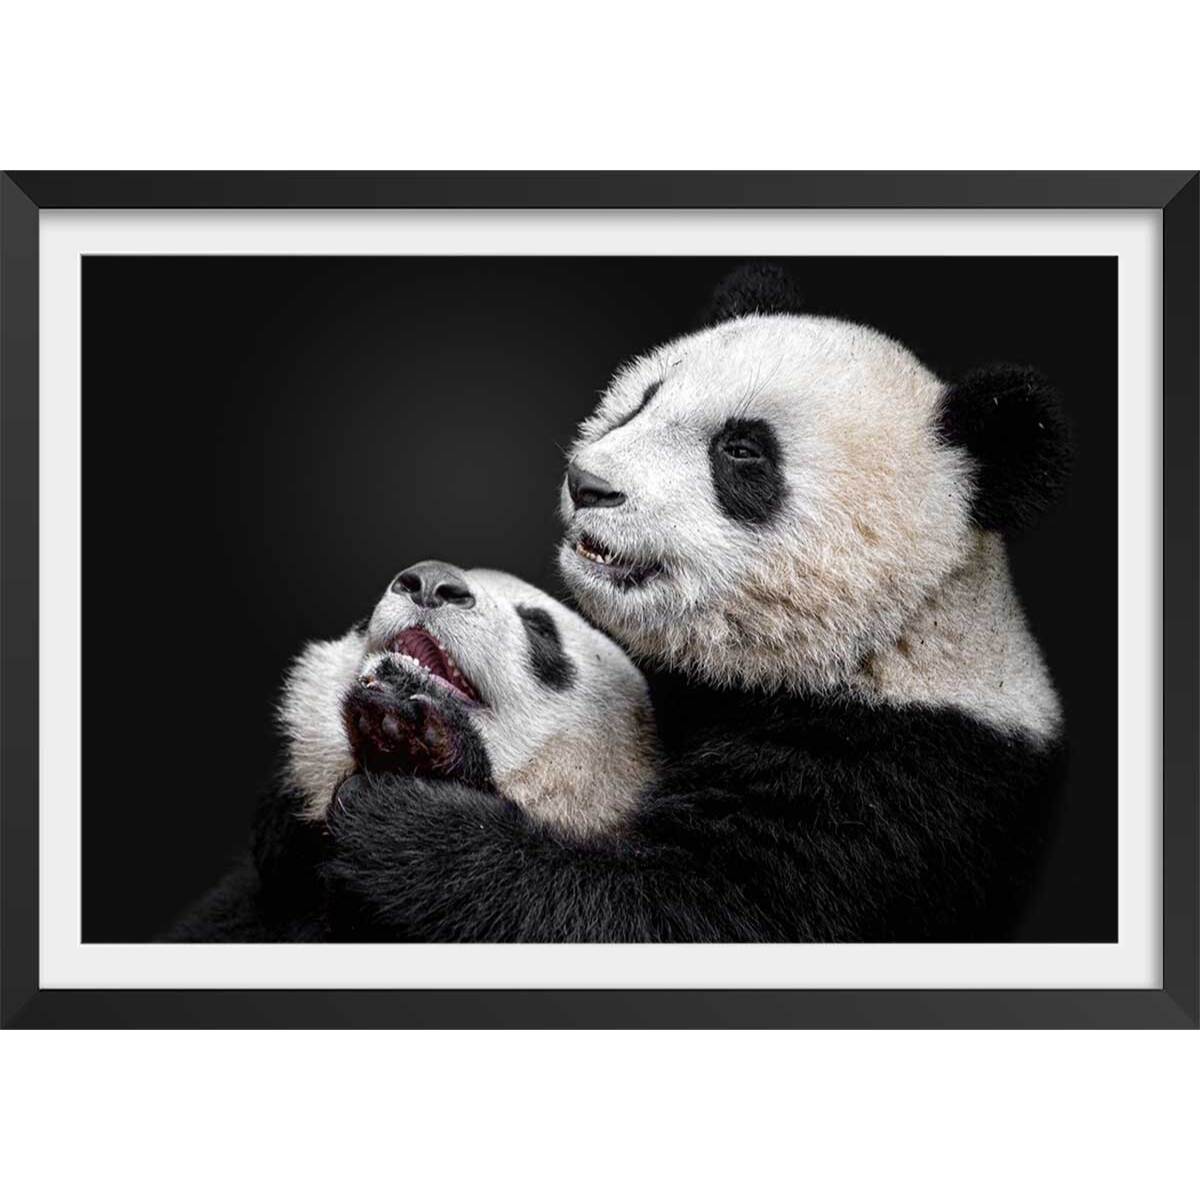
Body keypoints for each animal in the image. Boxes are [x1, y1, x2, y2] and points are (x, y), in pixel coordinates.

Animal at [317, 265, 1070, 943]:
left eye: (742, 451)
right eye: (644, 399)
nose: (588, 483)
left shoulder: (896, 783)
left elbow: (681, 913)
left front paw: (410, 804)